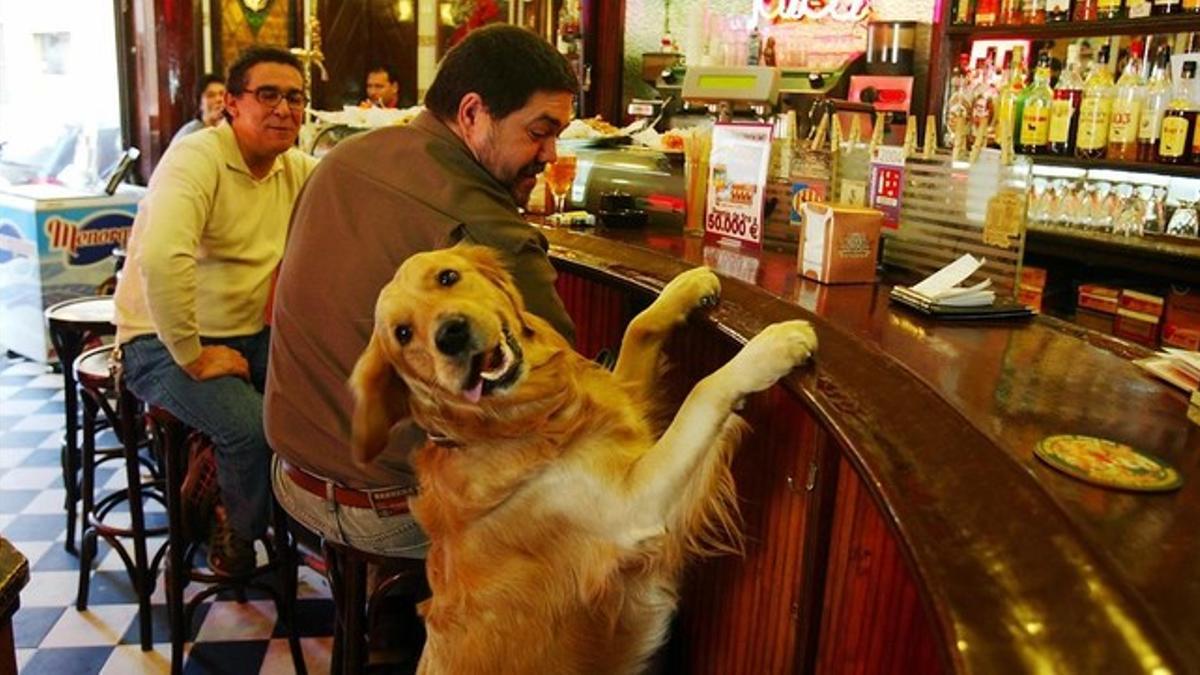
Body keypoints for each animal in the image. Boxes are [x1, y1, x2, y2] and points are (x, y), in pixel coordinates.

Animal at [348, 242, 816, 672]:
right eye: (403, 334)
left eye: (447, 277)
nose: (451, 335)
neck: (521, 419)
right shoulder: (633, 508)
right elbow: (703, 389)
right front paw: (772, 347)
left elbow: (638, 326)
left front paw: (687, 286)